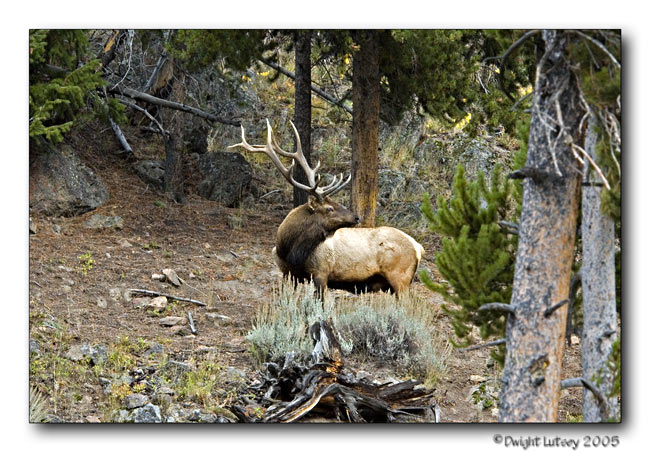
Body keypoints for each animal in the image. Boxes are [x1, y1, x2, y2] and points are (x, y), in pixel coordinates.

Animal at [229, 119, 424, 298]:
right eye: (330, 208)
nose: (356, 217)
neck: (289, 251)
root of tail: (418, 247)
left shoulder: (321, 272)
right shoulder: (288, 274)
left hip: (400, 278)